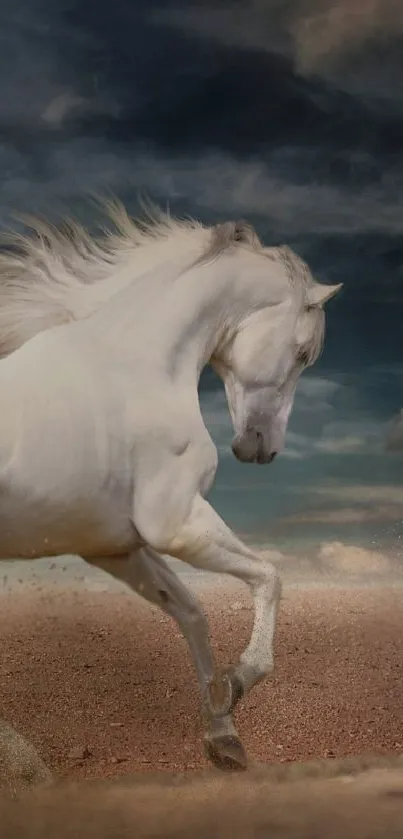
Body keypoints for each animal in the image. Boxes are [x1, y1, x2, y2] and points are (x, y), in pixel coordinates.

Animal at [0, 207, 340, 772]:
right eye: (301, 354)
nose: (261, 448)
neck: (131, 365)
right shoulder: (177, 523)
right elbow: (270, 578)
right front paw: (240, 681)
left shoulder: (114, 547)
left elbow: (191, 611)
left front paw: (222, 731)